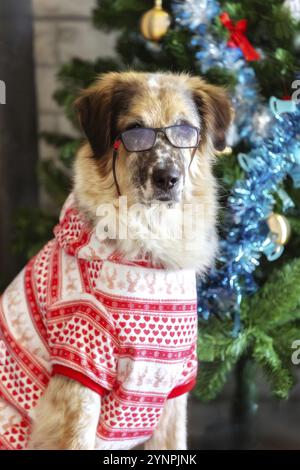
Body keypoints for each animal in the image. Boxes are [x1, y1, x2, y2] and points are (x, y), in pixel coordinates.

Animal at [0, 71, 231, 450]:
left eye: (184, 130)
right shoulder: (79, 380)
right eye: (135, 130)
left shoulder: (171, 389)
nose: (167, 179)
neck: (148, 248)